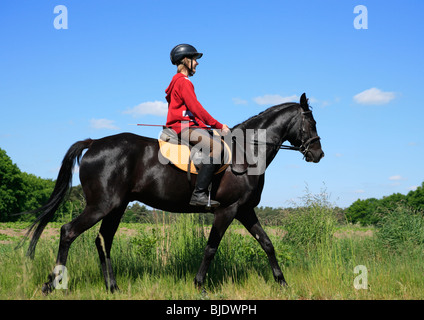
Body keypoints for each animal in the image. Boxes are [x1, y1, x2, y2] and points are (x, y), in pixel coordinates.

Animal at [21, 92, 322, 292]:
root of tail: (94, 142)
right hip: (101, 205)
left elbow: (267, 243)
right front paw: (199, 285)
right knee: (68, 232)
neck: (247, 151)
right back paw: (53, 284)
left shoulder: (245, 210)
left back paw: (112, 287)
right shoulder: (227, 210)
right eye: (311, 123)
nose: (319, 154)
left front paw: (282, 283)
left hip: (116, 206)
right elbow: (211, 248)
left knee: (103, 240)